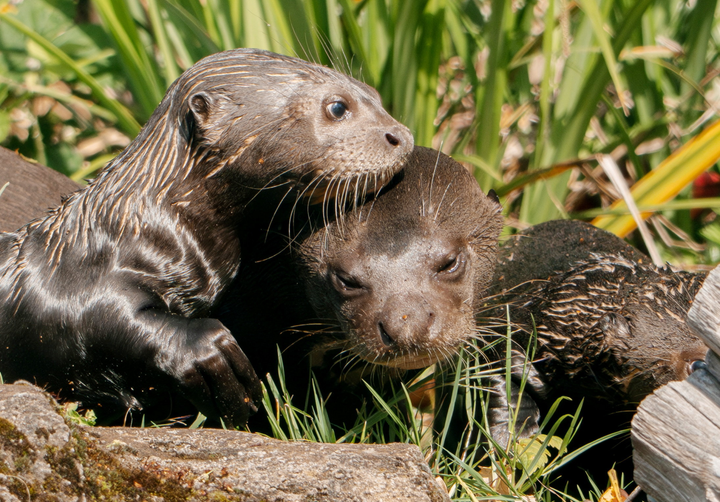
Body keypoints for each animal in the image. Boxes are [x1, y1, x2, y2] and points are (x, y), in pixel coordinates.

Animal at [0, 48, 412, 427]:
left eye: (374, 94)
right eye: (338, 107)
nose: (403, 136)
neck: (147, 229)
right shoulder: (71, 283)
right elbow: (100, 317)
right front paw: (211, 356)